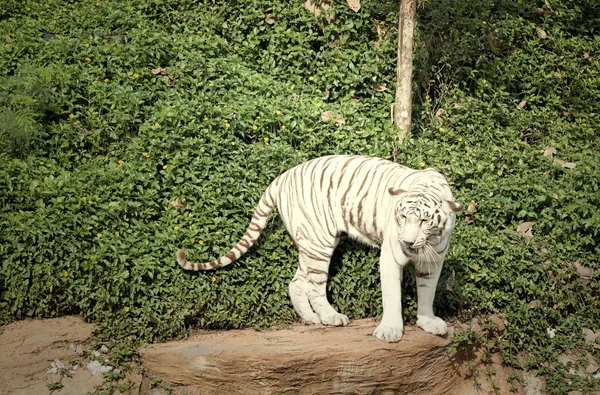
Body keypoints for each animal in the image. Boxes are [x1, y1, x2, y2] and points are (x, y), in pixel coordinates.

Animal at [176, 155, 462, 344]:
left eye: (424, 221)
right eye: (402, 217)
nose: (407, 242)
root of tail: (282, 176)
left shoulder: (434, 259)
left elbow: (427, 291)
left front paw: (427, 321)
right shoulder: (391, 256)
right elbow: (392, 294)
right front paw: (390, 330)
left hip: (310, 243)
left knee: (296, 281)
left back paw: (311, 318)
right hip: (319, 241)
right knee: (314, 286)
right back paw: (330, 316)